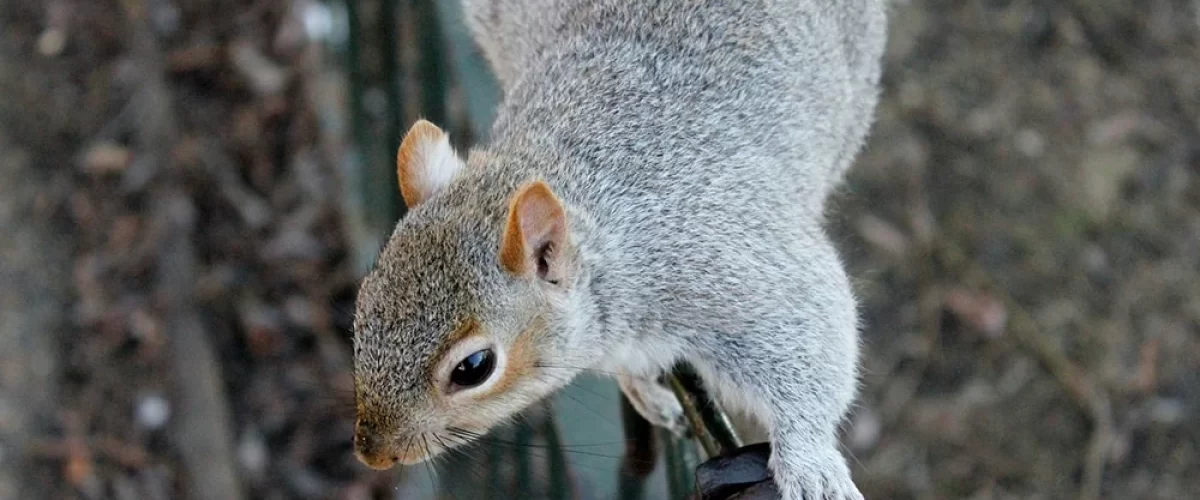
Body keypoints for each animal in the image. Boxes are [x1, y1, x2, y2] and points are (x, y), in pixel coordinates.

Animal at [350, 1, 888, 496]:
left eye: (474, 368)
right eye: (362, 306)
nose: (373, 453)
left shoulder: (731, 261)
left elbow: (807, 335)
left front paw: (810, 462)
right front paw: (643, 391)